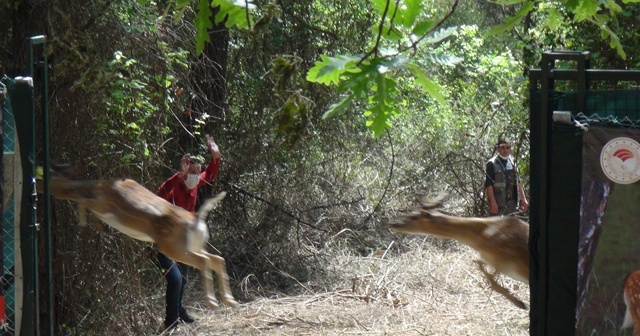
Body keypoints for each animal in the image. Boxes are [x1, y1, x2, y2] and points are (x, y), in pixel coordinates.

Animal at [42, 165, 239, 310]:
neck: (94, 188)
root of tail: (196, 219)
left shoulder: (103, 204)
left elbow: (84, 204)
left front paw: (86, 224)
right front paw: (97, 227)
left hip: (174, 246)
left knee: (204, 261)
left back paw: (213, 302)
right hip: (194, 245)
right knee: (217, 259)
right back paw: (230, 300)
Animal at [390, 194, 528, 310]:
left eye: (414, 216)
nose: (393, 223)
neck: (481, 237)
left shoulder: (504, 261)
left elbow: (491, 279)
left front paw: (520, 303)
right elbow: (479, 264)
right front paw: (519, 302)